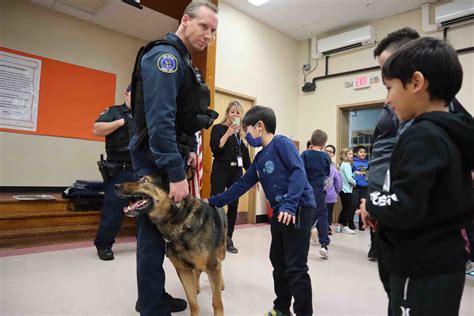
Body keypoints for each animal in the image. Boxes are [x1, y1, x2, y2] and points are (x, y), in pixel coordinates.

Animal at [115, 175, 226, 316]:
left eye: (144, 180)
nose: (115, 186)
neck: (180, 223)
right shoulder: (183, 271)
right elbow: (193, 302)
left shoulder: (211, 267)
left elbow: (217, 302)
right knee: (198, 271)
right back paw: (196, 286)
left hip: (221, 253)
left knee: (220, 266)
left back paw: (221, 283)